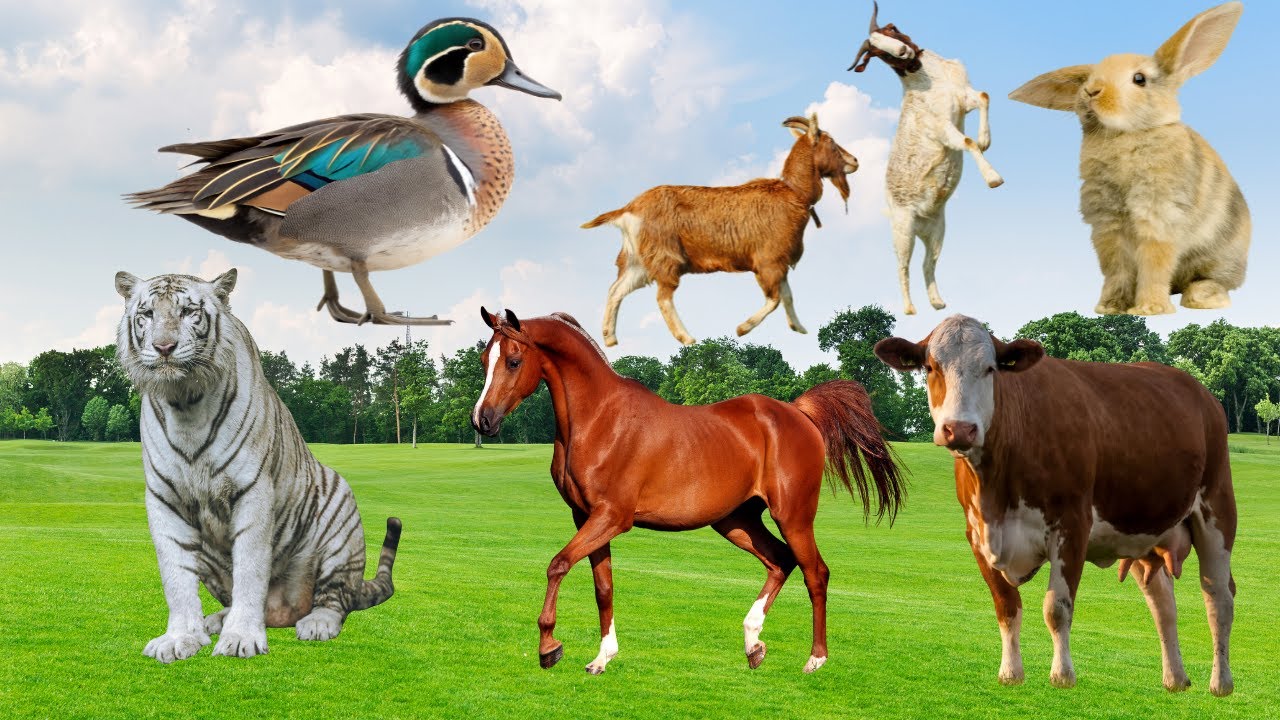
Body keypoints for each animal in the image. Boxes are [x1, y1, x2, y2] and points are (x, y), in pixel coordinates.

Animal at [581, 114, 858, 347]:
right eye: (832, 143)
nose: (854, 161)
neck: (794, 194)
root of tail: (629, 209)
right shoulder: (768, 260)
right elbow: (775, 299)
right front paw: (742, 328)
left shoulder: (779, 262)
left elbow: (787, 296)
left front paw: (799, 328)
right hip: (664, 254)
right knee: (662, 297)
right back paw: (687, 338)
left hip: (638, 260)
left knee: (616, 290)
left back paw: (609, 338)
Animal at [850, 1, 1003, 315]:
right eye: (876, 52)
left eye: (891, 29)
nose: (902, 52)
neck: (929, 77)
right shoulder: (941, 127)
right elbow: (966, 142)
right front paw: (994, 178)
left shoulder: (963, 98)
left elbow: (984, 96)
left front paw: (986, 140)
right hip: (902, 229)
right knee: (902, 266)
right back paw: (910, 308)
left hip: (937, 230)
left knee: (927, 264)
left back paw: (937, 302)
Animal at [874, 314, 1236, 695]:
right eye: (931, 367)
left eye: (990, 368)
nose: (959, 429)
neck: (996, 492)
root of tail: (1200, 392)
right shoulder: (976, 533)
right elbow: (1006, 606)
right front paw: (1010, 673)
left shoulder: (1072, 525)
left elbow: (1056, 608)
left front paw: (1062, 674)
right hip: (1140, 528)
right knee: (1163, 602)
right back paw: (1175, 678)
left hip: (1217, 508)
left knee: (1218, 597)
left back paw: (1221, 682)